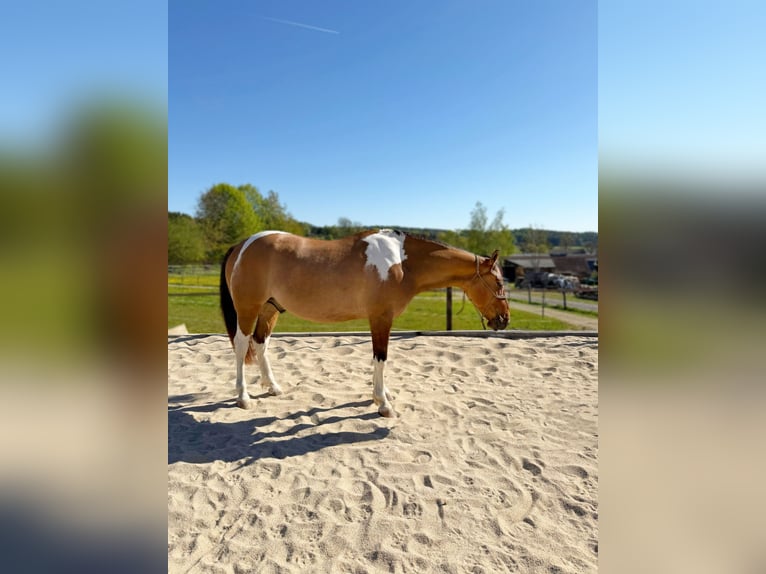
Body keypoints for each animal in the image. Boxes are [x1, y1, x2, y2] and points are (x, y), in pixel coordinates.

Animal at [219, 229, 510, 417]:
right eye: (498, 282)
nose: (504, 319)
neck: (401, 263)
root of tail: (242, 245)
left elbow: (378, 359)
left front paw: (384, 395)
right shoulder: (381, 317)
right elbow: (380, 357)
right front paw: (383, 403)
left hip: (270, 309)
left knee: (260, 344)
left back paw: (273, 387)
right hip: (248, 309)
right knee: (242, 345)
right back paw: (243, 397)